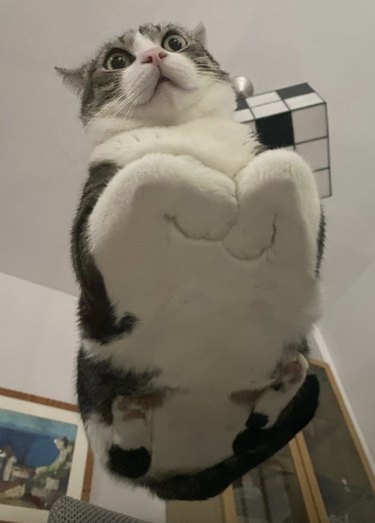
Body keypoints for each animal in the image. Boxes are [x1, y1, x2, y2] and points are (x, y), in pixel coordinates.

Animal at [57, 22, 324, 502]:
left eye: (174, 41)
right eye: (117, 60)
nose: (155, 57)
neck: (183, 131)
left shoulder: (306, 260)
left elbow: (284, 160)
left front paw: (245, 227)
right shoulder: (93, 254)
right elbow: (146, 169)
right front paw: (218, 202)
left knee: (258, 429)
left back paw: (283, 382)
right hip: (93, 359)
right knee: (124, 453)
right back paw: (129, 415)